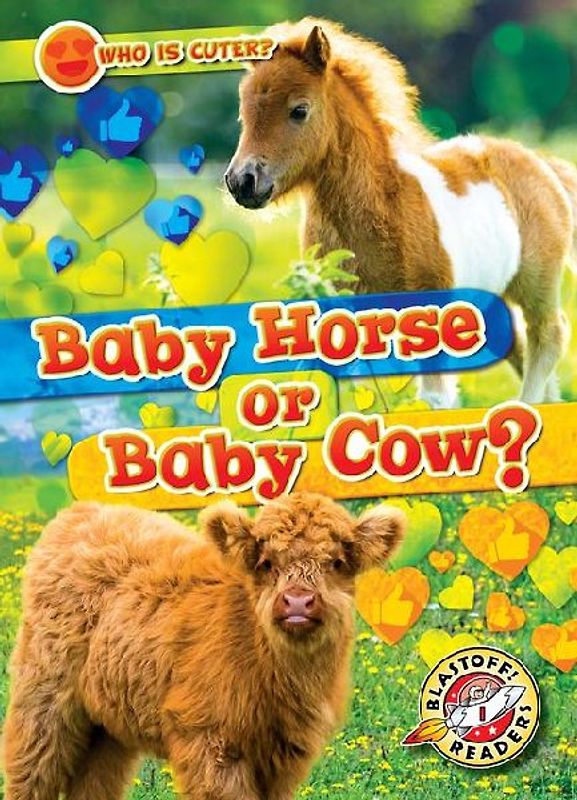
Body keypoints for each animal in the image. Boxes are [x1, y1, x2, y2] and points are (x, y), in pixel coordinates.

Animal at [225, 17, 577, 408]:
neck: (382, 208)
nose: (242, 181)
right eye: (244, 114)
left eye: (299, 110)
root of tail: (539, 162)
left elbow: (434, 396)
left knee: (548, 336)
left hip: (537, 280)